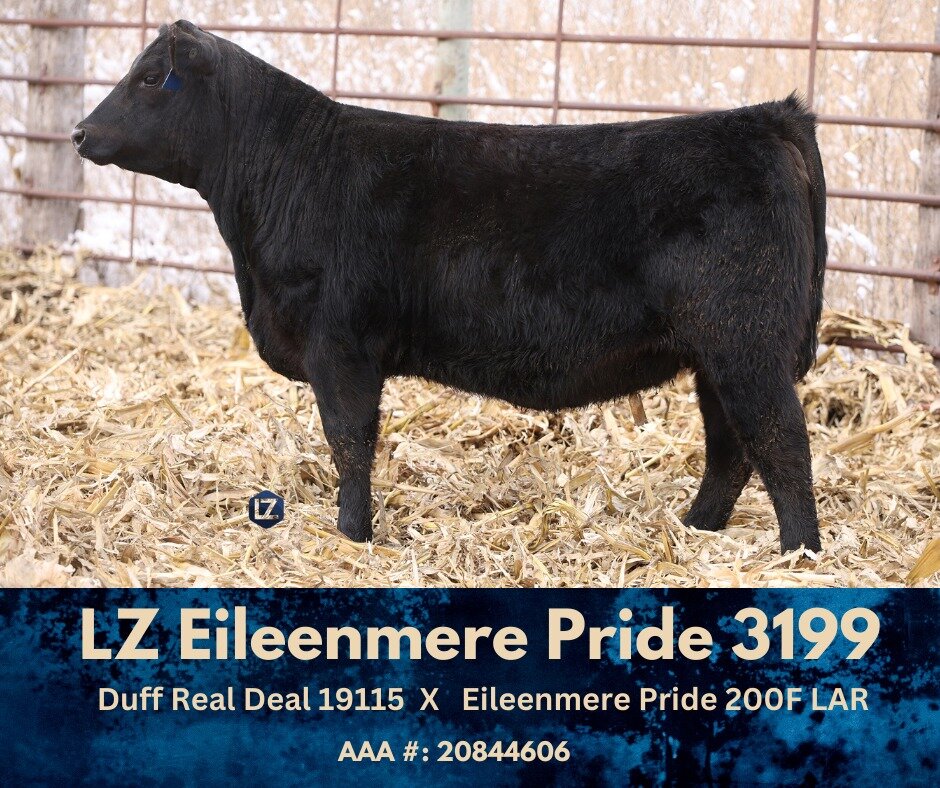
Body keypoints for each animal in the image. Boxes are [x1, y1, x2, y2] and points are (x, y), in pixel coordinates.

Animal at [73, 20, 827, 552]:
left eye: (150, 77)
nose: (80, 131)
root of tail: (764, 117)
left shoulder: (340, 346)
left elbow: (349, 441)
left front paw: (353, 535)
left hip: (746, 345)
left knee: (781, 443)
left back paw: (799, 555)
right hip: (715, 356)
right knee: (732, 450)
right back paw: (697, 530)